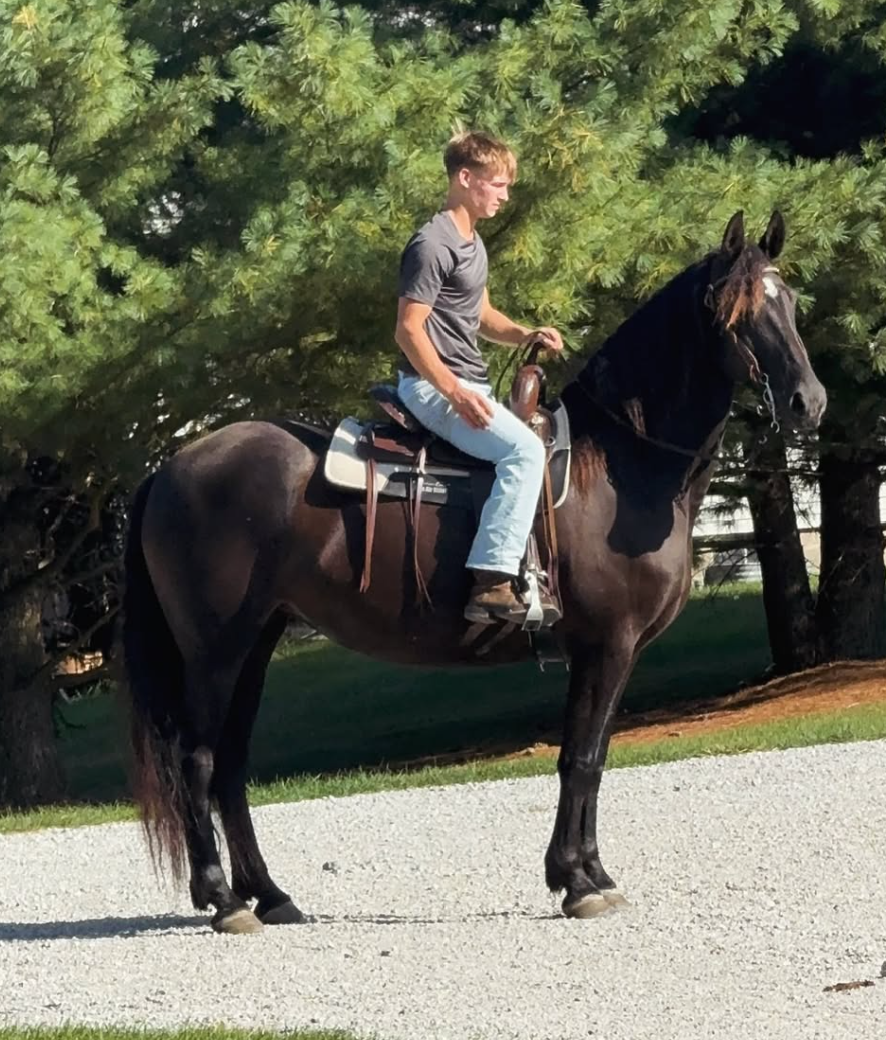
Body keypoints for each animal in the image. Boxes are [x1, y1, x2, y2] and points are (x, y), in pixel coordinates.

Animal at [122, 210, 826, 934]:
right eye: (735, 309)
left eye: (791, 302)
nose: (809, 401)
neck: (619, 466)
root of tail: (172, 466)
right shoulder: (607, 644)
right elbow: (579, 758)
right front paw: (575, 881)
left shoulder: (616, 652)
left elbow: (595, 757)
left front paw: (591, 872)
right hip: (214, 649)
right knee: (197, 761)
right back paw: (224, 899)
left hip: (257, 641)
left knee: (230, 767)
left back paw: (271, 894)